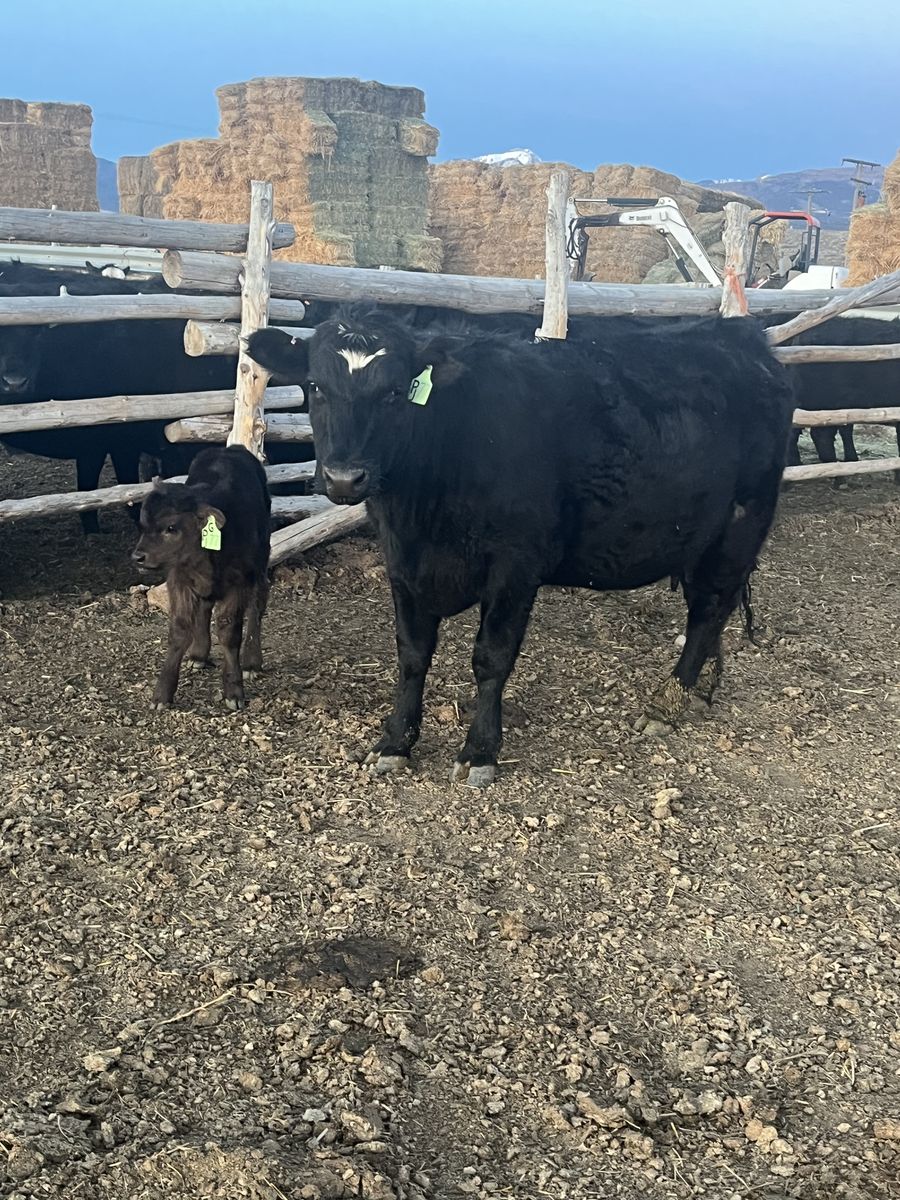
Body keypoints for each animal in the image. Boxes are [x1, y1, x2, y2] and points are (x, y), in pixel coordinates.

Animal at [131, 445, 271, 712]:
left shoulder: (239, 581)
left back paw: (251, 661)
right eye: (142, 525)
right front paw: (162, 693)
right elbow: (179, 629)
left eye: (171, 528)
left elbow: (229, 631)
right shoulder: (178, 579)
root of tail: (233, 449)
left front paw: (234, 690)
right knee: (205, 607)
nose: (138, 557)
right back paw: (198, 654)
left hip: (261, 558)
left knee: (258, 603)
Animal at [247, 306, 794, 787]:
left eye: (395, 393)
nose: (345, 477)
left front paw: (480, 751)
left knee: (709, 608)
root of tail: (739, 336)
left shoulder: (515, 565)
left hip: (741, 522)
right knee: (715, 608)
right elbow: (412, 653)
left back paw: (668, 702)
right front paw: (395, 741)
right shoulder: (402, 561)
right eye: (316, 386)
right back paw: (700, 690)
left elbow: (491, 658)